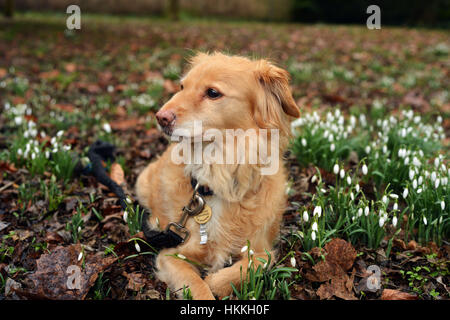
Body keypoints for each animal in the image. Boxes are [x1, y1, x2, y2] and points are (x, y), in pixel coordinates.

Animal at [136, 51, 298, 298]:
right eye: (182, 86)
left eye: (213, 93)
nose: (160, 117)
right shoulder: (171, 255)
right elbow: (197, 286)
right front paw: (206, 285)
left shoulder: (262, 250)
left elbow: (253, 264)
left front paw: (215, 281)